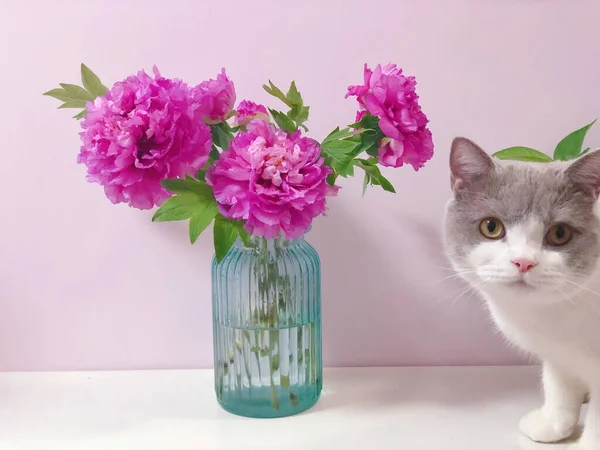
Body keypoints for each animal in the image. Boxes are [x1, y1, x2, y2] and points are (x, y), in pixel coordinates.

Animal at [442, 138, 600, 450]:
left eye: (560, 233)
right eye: (491, 226)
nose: (523, 262)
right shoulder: (558, 354)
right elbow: (558, 384)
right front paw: (552, 423)